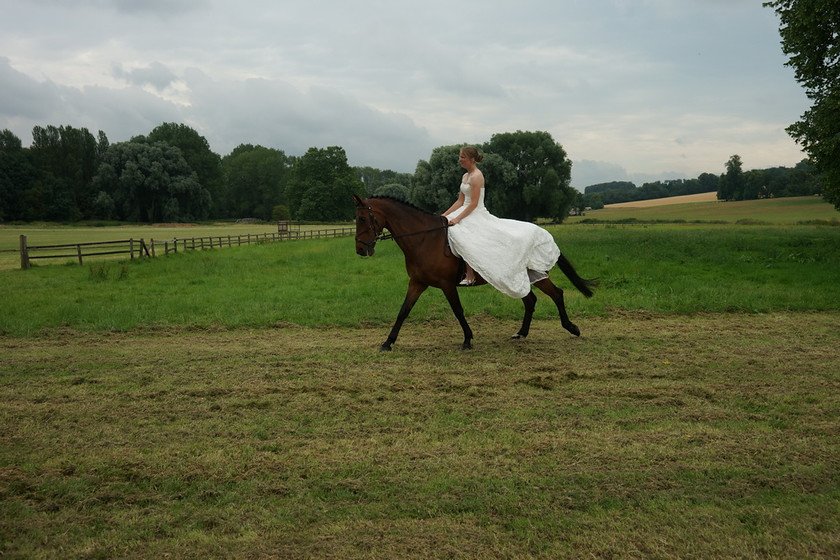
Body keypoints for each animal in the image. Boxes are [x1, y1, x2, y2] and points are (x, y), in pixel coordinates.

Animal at [354, 196, 596, 350]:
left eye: (363, 219)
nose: (360, 250)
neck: (424, 238)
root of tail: (543, 233)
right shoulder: (417, 283)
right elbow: (403, 311)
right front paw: (387, 343)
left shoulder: (446, 284)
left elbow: (458, 310)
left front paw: (467, 340)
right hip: (519, 277)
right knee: (530, 300)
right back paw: (521, 333)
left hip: (535, 275)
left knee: (556, 294)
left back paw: (572, 328)